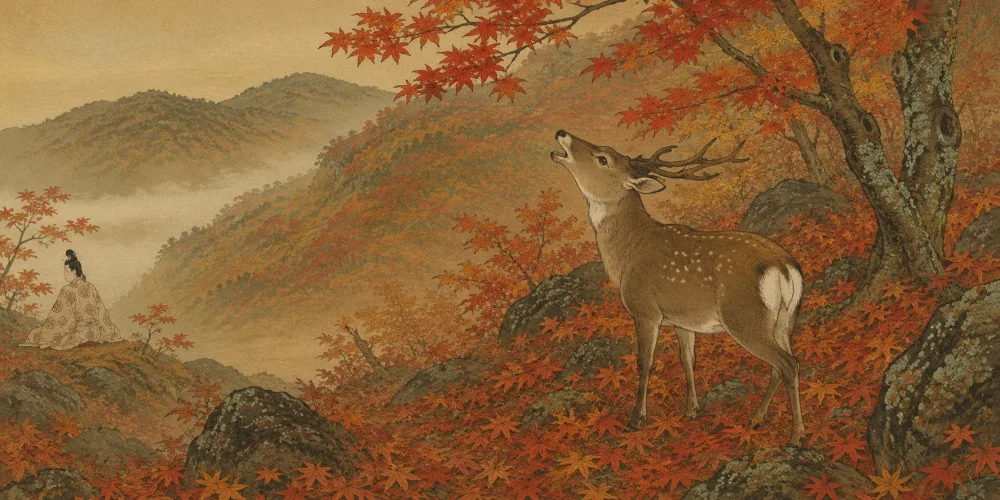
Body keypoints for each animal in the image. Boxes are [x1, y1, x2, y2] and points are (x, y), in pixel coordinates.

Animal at [550, 130, 805, 445]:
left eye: (603, 158)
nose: (562, 133)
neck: (627, 256)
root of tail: (785, 267)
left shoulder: (645, 310)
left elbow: (645, 363)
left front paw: (636, 419)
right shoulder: (683, 320)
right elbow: (688, 360)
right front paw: (691, 410)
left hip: (744, 316)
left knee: (788, 364)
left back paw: (796, 435)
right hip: (785, 318)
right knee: (782, 363)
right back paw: (757, 419)